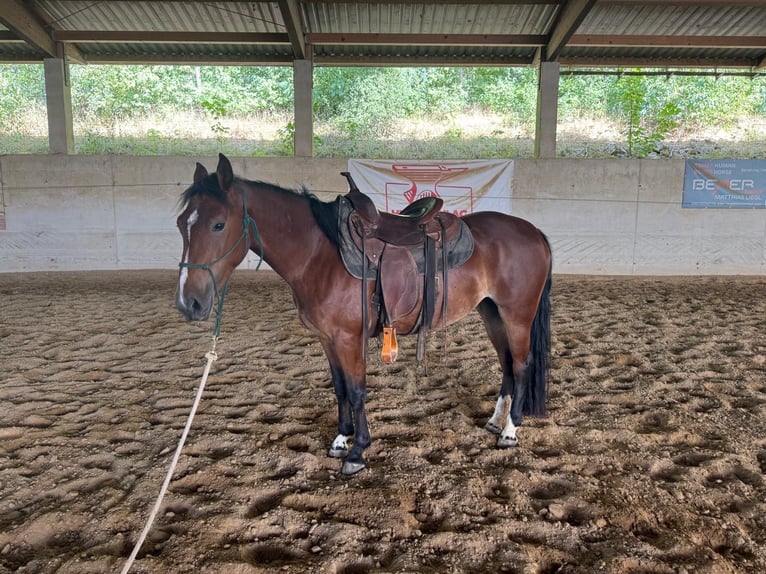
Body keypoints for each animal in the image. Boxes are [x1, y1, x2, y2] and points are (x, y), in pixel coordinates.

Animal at [175, 154, 552, 476]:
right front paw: (341, 440)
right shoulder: (327, 338)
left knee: (521, 365)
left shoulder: (348, 338)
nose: (188, 302)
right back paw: (495, 421)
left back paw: (510, 430)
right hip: (492, 313)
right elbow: (340, 388)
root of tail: (533, 232)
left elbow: (357, 391)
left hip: (517, 316)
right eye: (181, 224)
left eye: (218, 225)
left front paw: (357, 452)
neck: (318, 254)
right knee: (506, 363)